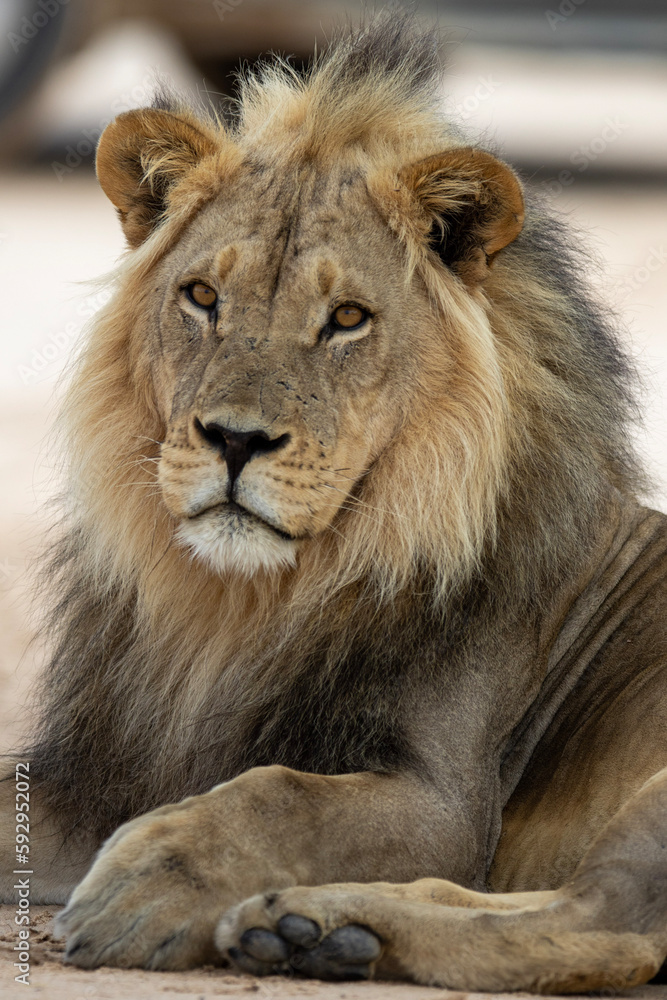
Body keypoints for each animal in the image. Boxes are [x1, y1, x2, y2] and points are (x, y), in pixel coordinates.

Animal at [1, 13, 667, 992]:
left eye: (346, 318)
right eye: (201, 297)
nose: (234, 440)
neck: (238, 608)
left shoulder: (445, 804)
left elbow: (279, 795)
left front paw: (151, 880)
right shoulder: (101, 778)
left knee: (607, 924)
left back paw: (309, 925)